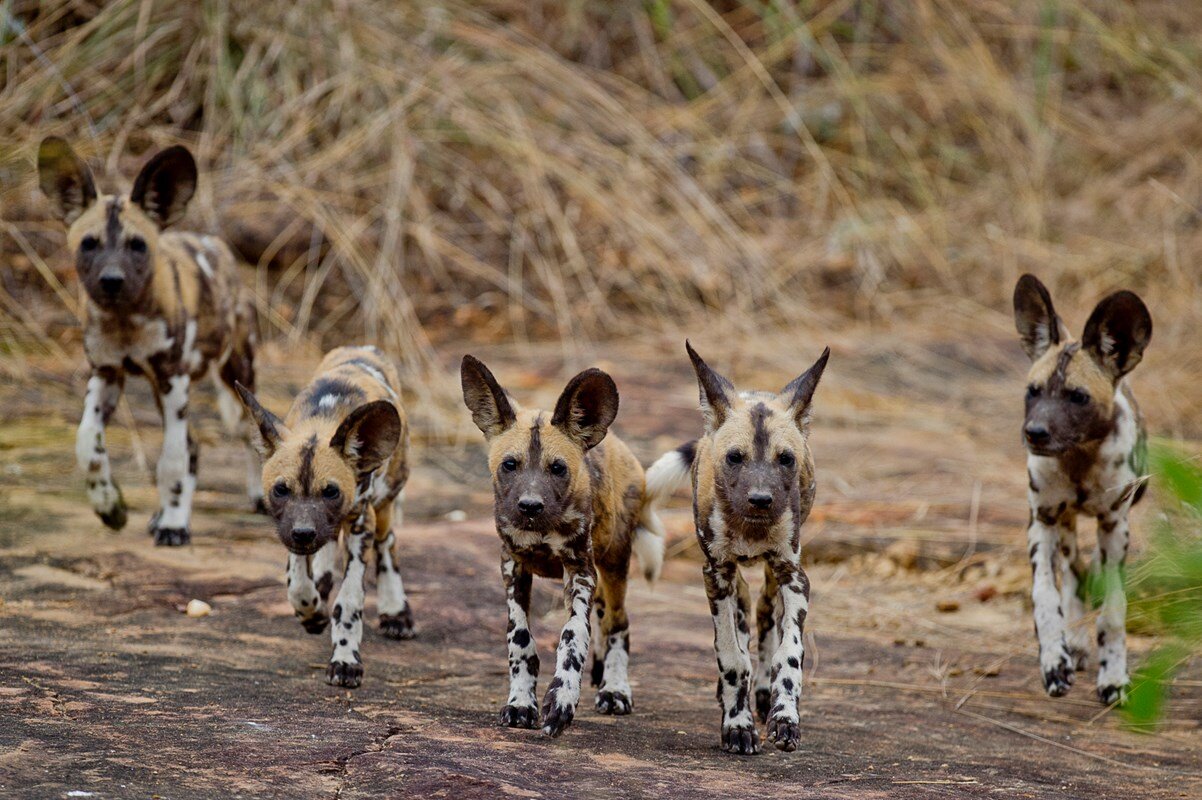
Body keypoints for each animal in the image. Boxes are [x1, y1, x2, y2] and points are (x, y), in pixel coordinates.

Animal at [38, 138, 260, 547]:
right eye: (89, 244)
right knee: (193, 446)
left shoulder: (172, 379)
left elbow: (170, 461)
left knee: (243, 435)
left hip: (235, 376)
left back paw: (255, 498)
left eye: (137, 245)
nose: (112, 280)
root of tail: (216, 245)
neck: (126, 320)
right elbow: (87, 442)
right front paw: (109, 506)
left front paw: (174, 526)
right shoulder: (106, 376)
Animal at [233, 345, 413, 687]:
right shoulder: (289, 529)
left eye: (331, 492)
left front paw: (345, 659)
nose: (305, 533)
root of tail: (363, 348)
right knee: (327, 549)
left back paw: (396, 611)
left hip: (383, 505)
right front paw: (311, 612)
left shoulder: (360, 523)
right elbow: (297, 585)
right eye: (281, 490)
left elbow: (349, 601)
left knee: (388, 543)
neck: (323, 420)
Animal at [459, 355, 673, 735]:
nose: (529, 506)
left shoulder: (579, 571)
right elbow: (520, 639)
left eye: (557, 468)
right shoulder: (513, 565)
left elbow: (573, 636)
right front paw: (520, 703)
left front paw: (561, 700)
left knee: (618, 623)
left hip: (614, 566)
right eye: (509, 465)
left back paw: (615, 689)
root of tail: (618, 443)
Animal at [649, 343, 826, 754]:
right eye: (735, 457)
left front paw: (784, 717)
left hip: (773, 575)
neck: (751, 528)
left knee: (763, 616)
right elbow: (731, 656)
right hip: (730, 578)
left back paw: (762, 692)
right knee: (743, 618)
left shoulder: (794, 575)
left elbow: (788, 653)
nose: (761, 500)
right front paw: (737, 724)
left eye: (786, 459)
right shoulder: (716, 574)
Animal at [1014, 273, 1153, 706]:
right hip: (1063, 526)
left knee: (1089, 572)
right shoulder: (1041, 521)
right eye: (1033, 391)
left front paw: (1114, 677)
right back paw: (1072, 643)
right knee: (1074, 571)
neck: (1078, 460)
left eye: (1078, 397)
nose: (1035, 433)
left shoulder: (1113, 525)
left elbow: (1113, 610)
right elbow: (1045, 597)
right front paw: (1054, 660)